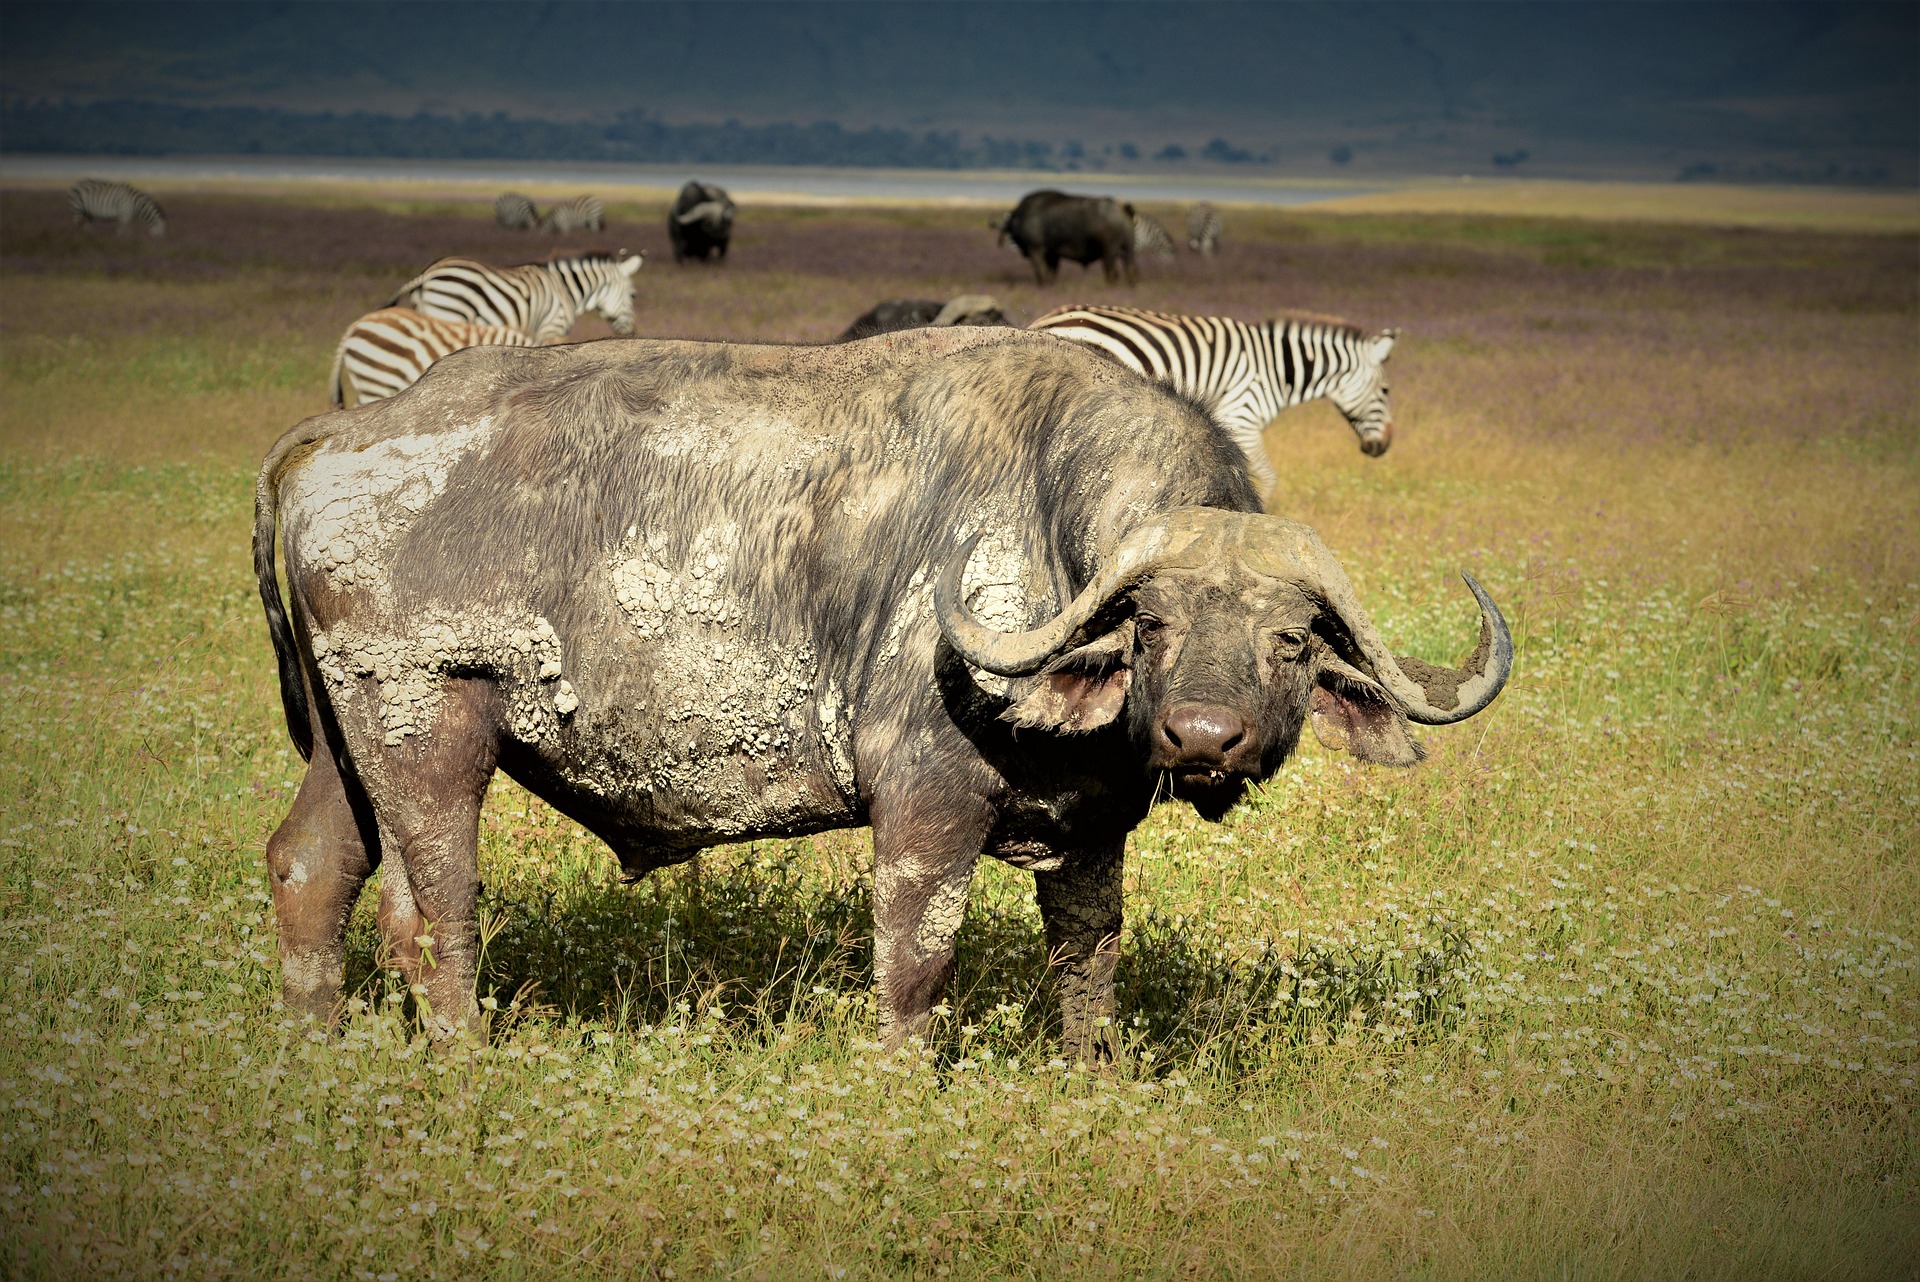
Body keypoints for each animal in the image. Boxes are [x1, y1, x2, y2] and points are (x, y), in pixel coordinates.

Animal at [253, 329, 1511, 1063]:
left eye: (1290, 641)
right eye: (1152, 622)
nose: (1205, 735)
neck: (1044, 531)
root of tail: (339, 435)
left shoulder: (1092, 828)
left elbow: (1089, 964)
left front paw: (1090, 1076)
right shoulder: (924, 810)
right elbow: (917, 963)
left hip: (344, 748)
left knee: (310, 869)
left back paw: (319, 1048)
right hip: (429, 726)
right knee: (433, 914)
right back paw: (465, 1064)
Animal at [385, 250, 643, 344]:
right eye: (633, 295)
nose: (632, 333)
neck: (566, 290)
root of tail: (428, 272)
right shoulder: (551, 328)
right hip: (449, 311)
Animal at [992, 190, 1138, 286]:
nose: (1012, 242)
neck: (1022, 217)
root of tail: (1123, 208)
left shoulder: (1036, 250)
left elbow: (1040, 271)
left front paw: (1042, 284)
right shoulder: (1052, 255)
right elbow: (1051, 272)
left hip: (1109, 252)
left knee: (1112, 272)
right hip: (1128, 250)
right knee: (1129, 269)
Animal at [1029, 303, 1398, 491]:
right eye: (1385, 391)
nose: (1384, 447)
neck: (1279, 368)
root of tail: (1043, 319)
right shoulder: (1243, 416)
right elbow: (1267, 478)